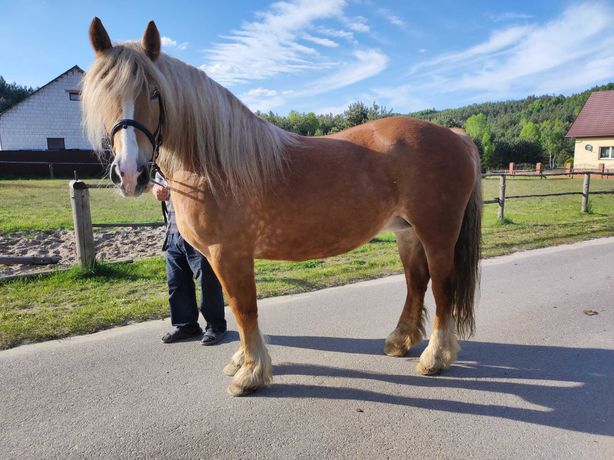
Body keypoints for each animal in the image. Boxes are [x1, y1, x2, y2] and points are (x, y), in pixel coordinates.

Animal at [82, 18, 484, 396]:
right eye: (103, 96)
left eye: (154, 92)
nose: (130, 173)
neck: (215, 164)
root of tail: (455, 135)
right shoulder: (220, 258)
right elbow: (235, 308)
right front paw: (243, 361)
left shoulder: (229, 254)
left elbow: (244, 308)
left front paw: (251, 374)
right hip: (407, 232)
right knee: (416, 282)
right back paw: (400, 341)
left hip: (437, 233)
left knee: (443, 286)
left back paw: (435, 357)